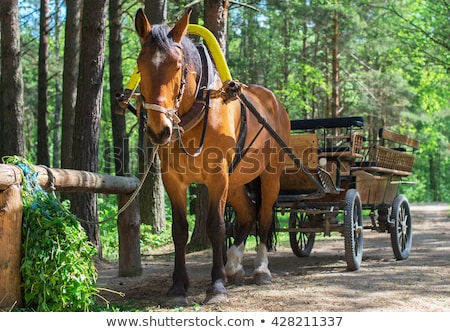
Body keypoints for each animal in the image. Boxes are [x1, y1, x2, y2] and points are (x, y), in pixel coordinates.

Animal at [134, 7, 290, 306]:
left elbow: (216, 227)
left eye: (178, 67)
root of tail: (274, 102)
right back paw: (234, 265)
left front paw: (216, 286)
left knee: (264, 217)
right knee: (248, 214)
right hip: (237, 181)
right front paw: (178, 287)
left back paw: (261, 269)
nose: (160, 130)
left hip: (270, 176)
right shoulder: (173, 179)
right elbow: (179, 230)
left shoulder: (218, 177)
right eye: (140, 65)